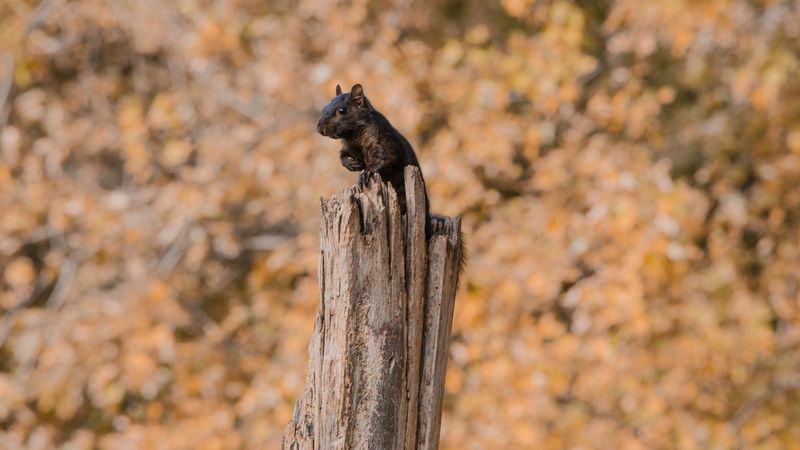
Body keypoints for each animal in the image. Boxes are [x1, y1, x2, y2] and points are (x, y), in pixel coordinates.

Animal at [317, 83, 465, 279]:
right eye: (324, 107)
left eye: (342, 110)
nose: (319, 129)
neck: (353, 136)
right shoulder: (349, 147)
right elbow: (342, 155)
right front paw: (351, 164)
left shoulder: (385, 143)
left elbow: (385, 161)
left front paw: (366, 173)